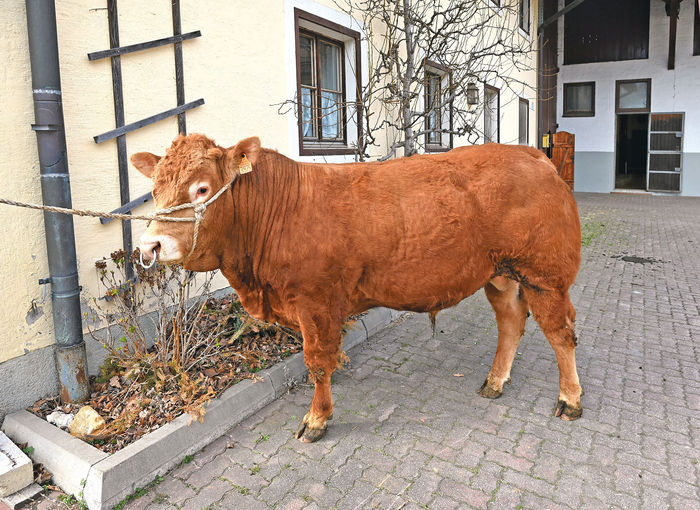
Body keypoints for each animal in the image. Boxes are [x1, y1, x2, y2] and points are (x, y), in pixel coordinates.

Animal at [133, 134, 584, 442]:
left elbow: (316, 362)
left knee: (560, 333)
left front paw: (316, 419)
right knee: (511, 322)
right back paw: (495, 382)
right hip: (501, 273)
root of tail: (531, 154)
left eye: (202, 189)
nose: (150, 246)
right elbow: (326, 357)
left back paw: (570, 400)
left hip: (545, 275)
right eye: (154, 189)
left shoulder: (314, 301)